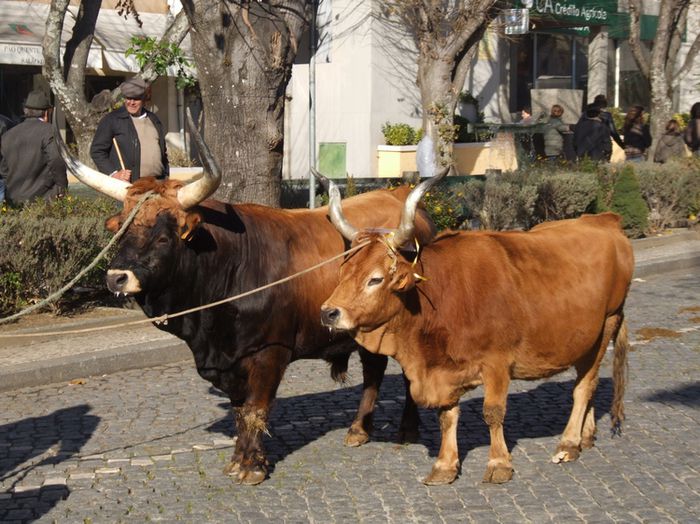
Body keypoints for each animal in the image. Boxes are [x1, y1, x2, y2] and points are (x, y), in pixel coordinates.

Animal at [322, 178, 636, 486]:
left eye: (375, 279)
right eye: (343, 272)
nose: (328, 312)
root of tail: (604, 220)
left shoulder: (496, 363)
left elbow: (493, 412)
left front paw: (499, 464)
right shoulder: (442, 370)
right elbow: (447, 415)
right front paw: (445, 466)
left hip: (608, 321)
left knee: (585, 386)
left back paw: (569, 443)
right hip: (586, 338)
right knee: (587, 379)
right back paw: (586, 436)